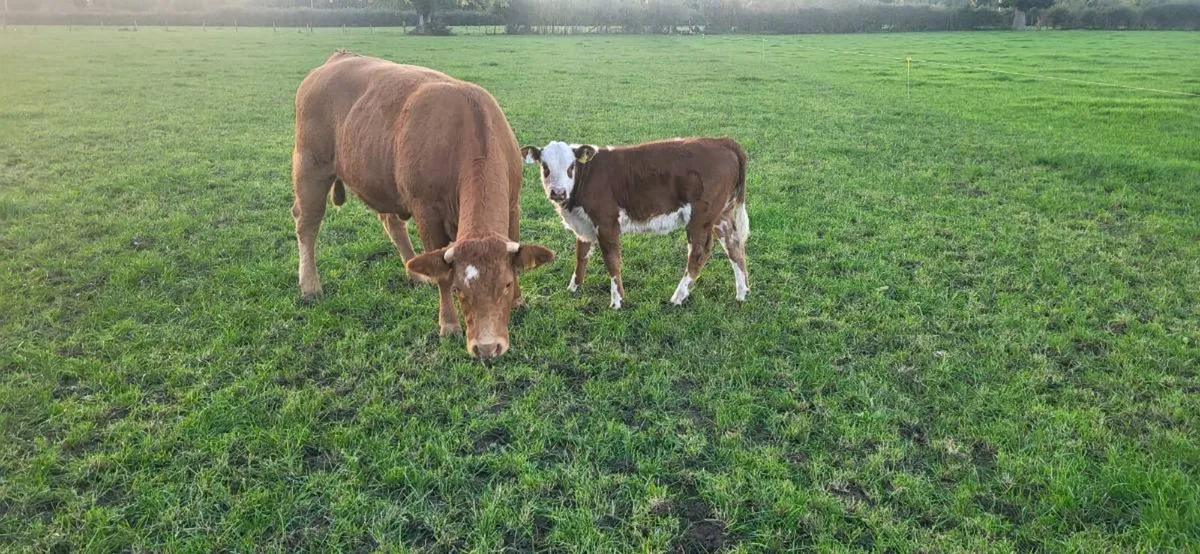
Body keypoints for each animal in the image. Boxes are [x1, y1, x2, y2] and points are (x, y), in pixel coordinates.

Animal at [292, 52, 554, 358]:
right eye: (461, 289)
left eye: (506, 284)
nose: (487, 347)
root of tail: (337, 58)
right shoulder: (426, 213)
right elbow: (442, 274)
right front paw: (449, 324)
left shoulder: (513, 206)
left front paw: (519, 300)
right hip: (310, 166)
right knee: (307, 224)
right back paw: (310, 285)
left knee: (391, 223)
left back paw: (414, 273)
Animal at [520, 137, 749, 309]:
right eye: (545, 167)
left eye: (571, 166)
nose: (558, 192)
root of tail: (721, 141)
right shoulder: (584, 225)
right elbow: (581, 256)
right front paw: (573, 288)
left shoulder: (607, 222)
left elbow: (612, 260)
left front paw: (617, 301)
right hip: (722, 215)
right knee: (734, 246)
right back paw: (742, 292)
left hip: (701, 217)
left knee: (700, 252)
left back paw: (678, 297)